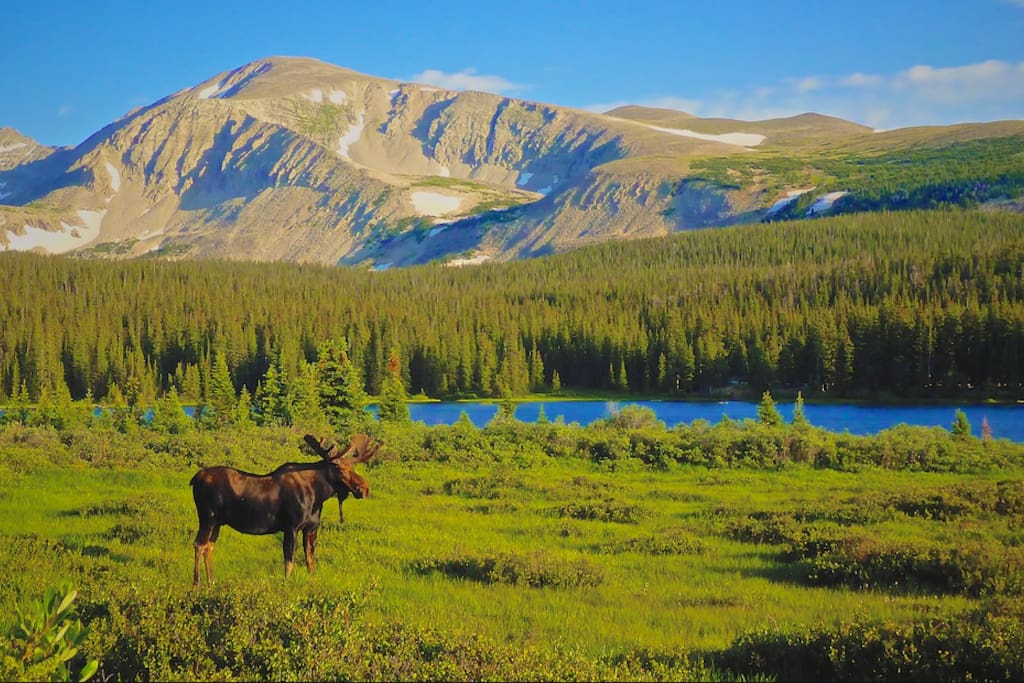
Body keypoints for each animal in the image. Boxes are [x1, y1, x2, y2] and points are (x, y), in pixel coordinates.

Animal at [190, 433, 380, 585]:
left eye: (353, 467)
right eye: (339, 468)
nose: (364, 489)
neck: (318, 494)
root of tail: (194, 479)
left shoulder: (311, 528)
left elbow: (310, 560)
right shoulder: (291, 527)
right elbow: (289, 561)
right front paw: (286, 585)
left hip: (218, 522)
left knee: (209, 547)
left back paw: (211, 582)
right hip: (207, 517)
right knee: (199, 544)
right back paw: (197, 585)